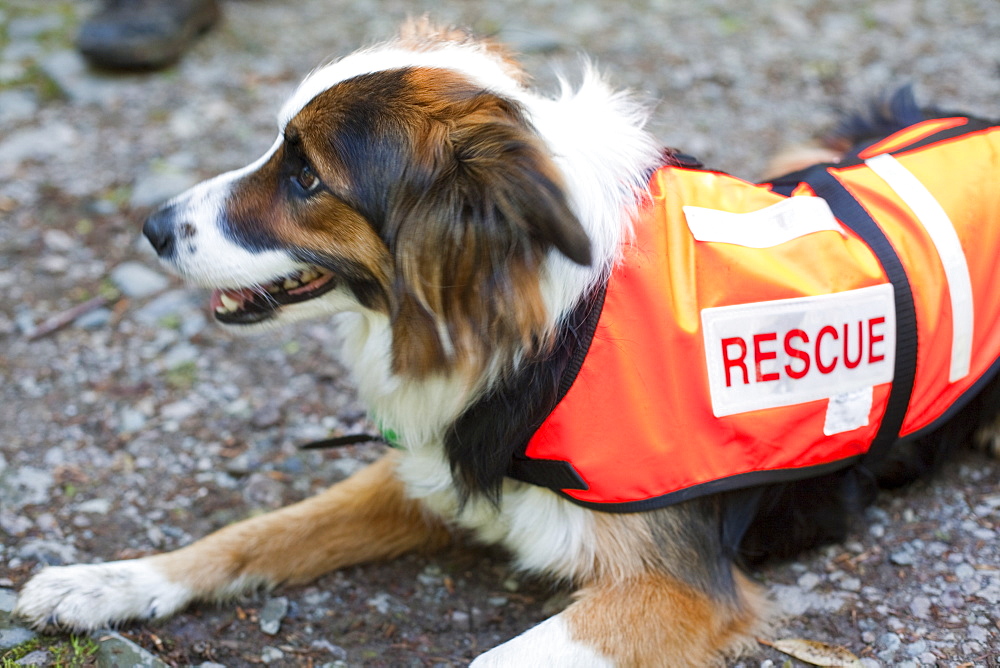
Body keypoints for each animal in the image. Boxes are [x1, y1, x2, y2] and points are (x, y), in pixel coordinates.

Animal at [13, 19, 1000, 664]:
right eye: (276, 151)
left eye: (306, 177)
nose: (150, 225)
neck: (541, 325)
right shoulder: (438, 465)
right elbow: (255, 532)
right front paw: (104, 581)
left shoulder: (680, 590)